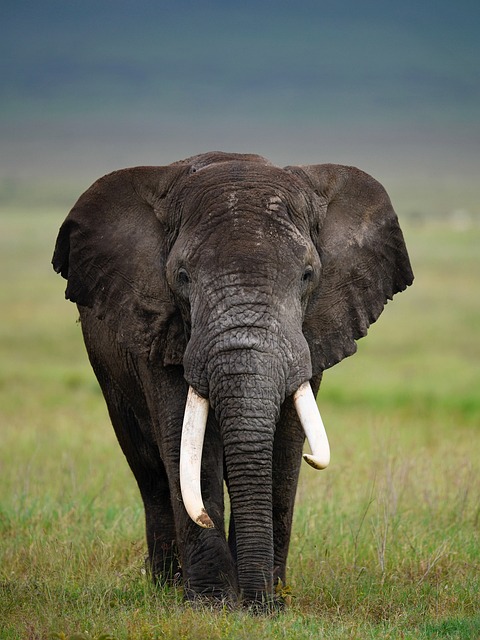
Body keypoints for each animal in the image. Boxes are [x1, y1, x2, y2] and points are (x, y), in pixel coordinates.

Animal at [52, 151, 413, 610]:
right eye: (183, 276)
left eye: (307, 275)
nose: (259, 603)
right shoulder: (160, 327)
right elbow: (189, 448)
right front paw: (213, 604)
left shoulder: (311, 335)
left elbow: (285, 446)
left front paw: (269, 601)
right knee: (150, 472)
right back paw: (166, 587)